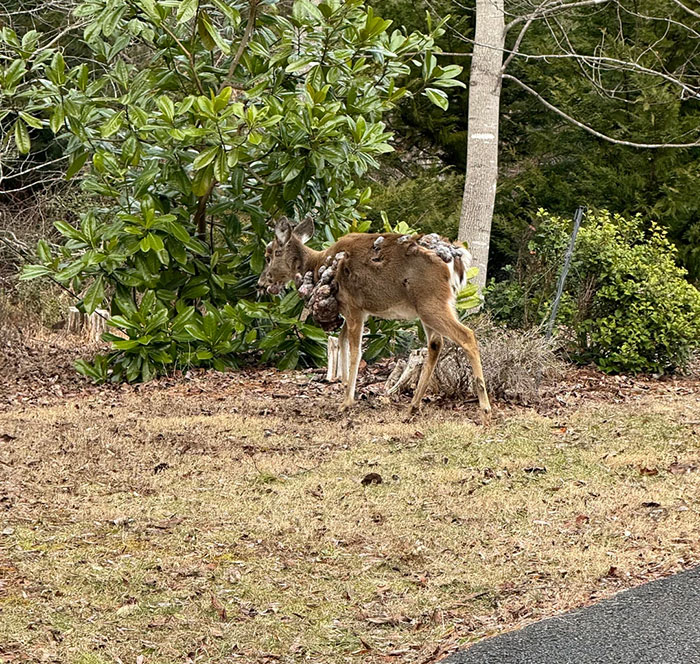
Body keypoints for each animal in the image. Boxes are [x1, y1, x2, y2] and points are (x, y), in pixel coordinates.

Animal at [257, 216, 492, 424]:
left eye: (269, 255)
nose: (261, 283)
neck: (318, 265)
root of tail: (457, 259)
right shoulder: (352, 310)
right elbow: (341, 341)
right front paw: (343, 386)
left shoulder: (353, 306)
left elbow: (355, 351)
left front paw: (347, 401)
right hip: (428, 306)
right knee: (436, 343)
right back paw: (413, 406)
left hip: (431, 301)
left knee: (467, 335)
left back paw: (485, 409)